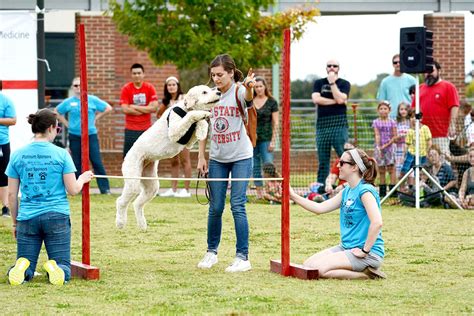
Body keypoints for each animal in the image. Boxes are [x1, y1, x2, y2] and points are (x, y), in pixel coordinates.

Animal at [115, 85, 221, 231]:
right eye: (204, 92)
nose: (219, 92)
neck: (185, 107)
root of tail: (127, 156)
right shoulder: (175, 131)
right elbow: (191, 116)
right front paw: (201, 115)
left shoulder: (188, 143)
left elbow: (198, 126)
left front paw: (202, 129)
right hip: (133, 180)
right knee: (121, 201)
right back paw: (120, 223)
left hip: (151, 184)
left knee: (137, 204)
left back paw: (142, 225)